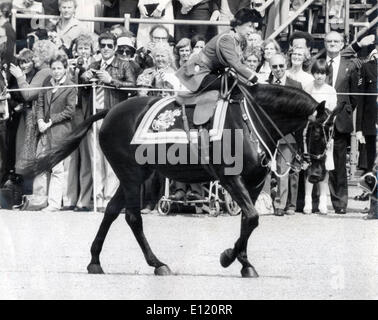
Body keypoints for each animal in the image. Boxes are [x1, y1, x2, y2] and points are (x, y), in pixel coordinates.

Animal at [25, 82, 330, 278]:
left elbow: (248, 220)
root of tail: (111, 112)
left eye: (330, 134)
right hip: (132, 176)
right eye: (317, 132)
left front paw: (243, 262)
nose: (316, 174)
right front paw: (229, 257)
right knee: (132, 218)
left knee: (111, 211)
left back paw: (95, 260)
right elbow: (252, 218)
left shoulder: (253, 183)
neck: (249, 120)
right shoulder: (230, 179)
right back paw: (157, 263)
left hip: (134, 176)